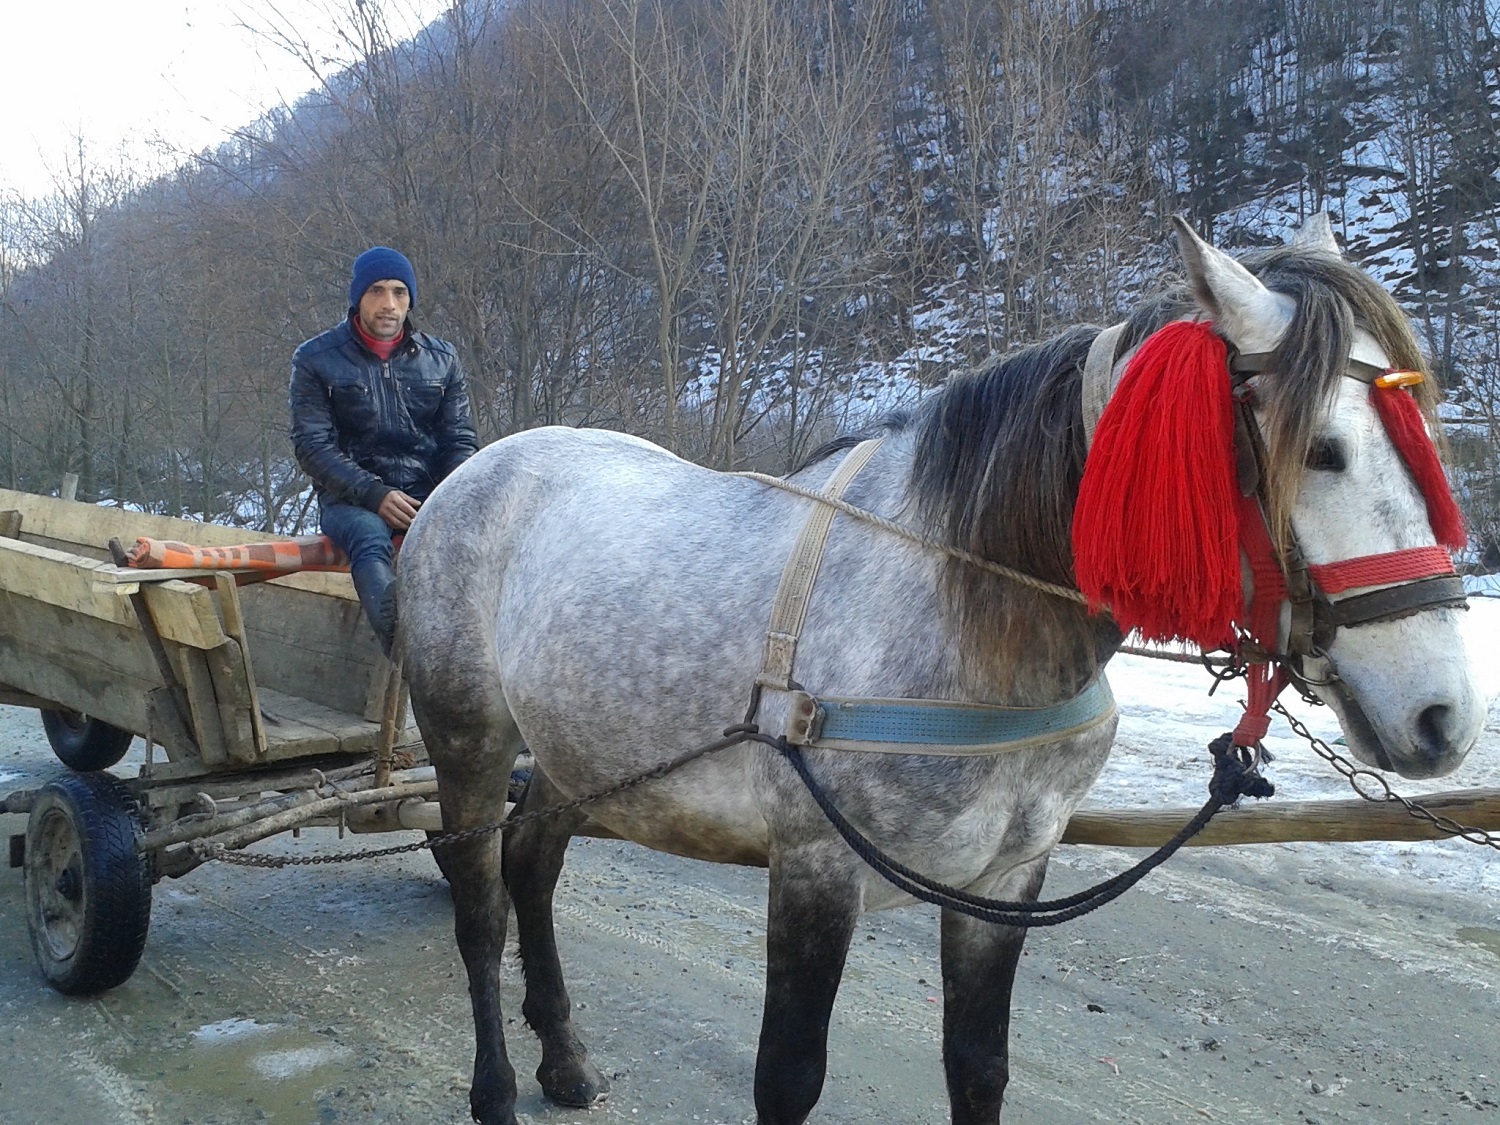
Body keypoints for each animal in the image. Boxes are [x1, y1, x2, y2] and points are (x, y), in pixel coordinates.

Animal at [393, 222, 1482, 1125]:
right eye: (1324, 450)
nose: (1444, 717)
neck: (971, 608)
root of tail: (473, 474)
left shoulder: (1005, 878)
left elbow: (978, 1066)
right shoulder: (816, 871)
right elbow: (788, 1079)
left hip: (583, 754)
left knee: (532, 865)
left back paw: (563, 1058)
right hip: (470, 739)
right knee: (481, 902)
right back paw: (496, 1089)